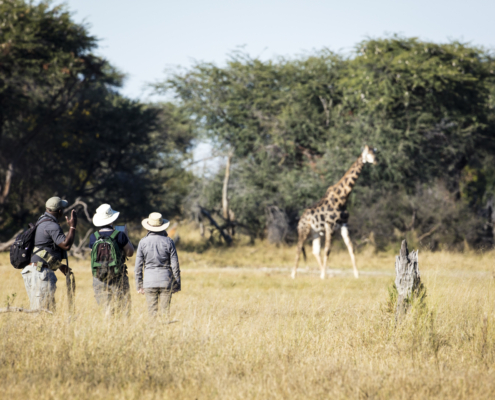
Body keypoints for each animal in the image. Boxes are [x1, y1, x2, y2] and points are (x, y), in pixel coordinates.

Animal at [290, 145, 376, 280]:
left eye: (374, 152)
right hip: (304, 230)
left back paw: (323, 272)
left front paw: (357, 274)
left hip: (316, 232)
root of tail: (300, 220)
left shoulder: (344, 225)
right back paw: (293, 274)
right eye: (367, 153)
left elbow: (351, 248)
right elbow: (328, 249)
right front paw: (323, 276)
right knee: (299, 247)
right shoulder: (329, 225)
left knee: (315, 250)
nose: (375, 161)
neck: (342, 198)